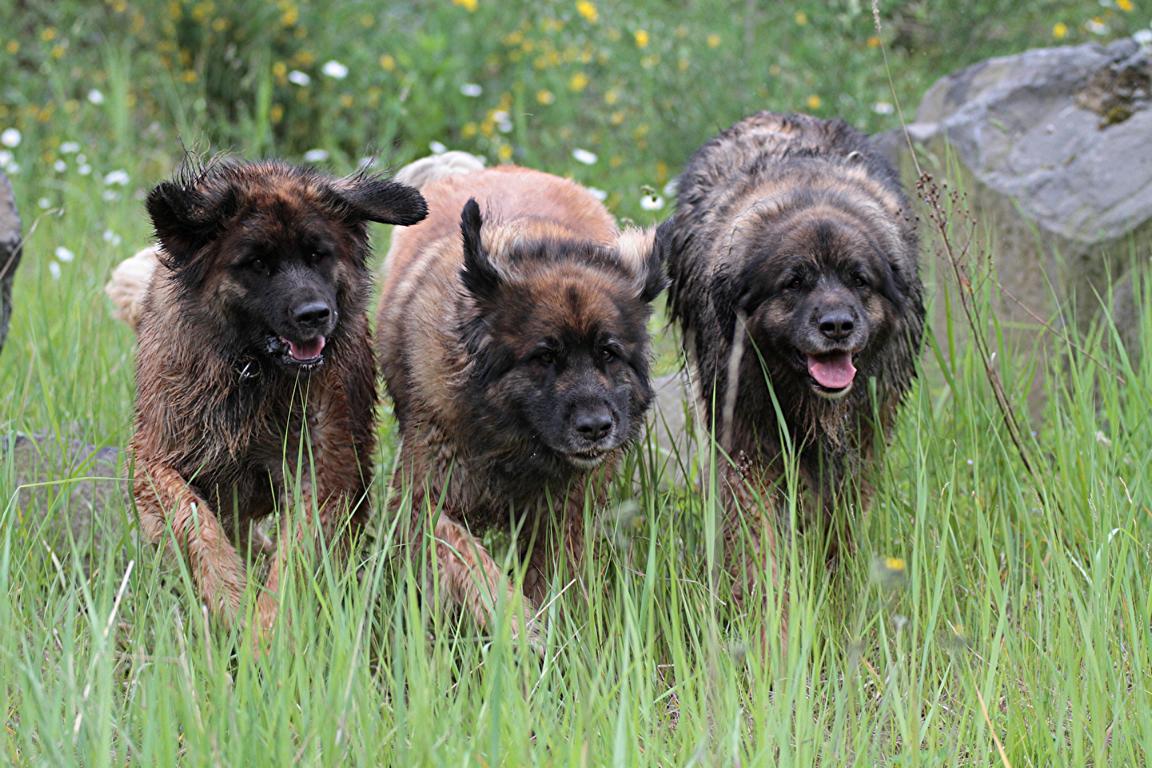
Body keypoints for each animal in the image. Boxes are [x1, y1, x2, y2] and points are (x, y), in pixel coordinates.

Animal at [123, 158, 428, 640]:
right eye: (256, 263)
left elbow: (295, 559)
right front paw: (231, 600)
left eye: (318, 255)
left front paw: (265, 631)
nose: (314, 315)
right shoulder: (157, 455)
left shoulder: (322, 467)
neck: (251, 371)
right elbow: (194, 523)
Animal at [380, 163, 668, 649]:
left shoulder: (563, 517)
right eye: (543, 357)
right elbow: (473, 565)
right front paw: (519, 629)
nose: (596, 427)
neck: (512, 443)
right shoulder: (421, 503)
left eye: (608, 353)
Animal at [663, 113, 921, 617]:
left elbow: (838, 530)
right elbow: (756, 542)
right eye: (794, 282)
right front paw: (772, 621)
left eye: (859, 279)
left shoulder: (859, 447)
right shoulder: (747, 445)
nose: (837, 325)